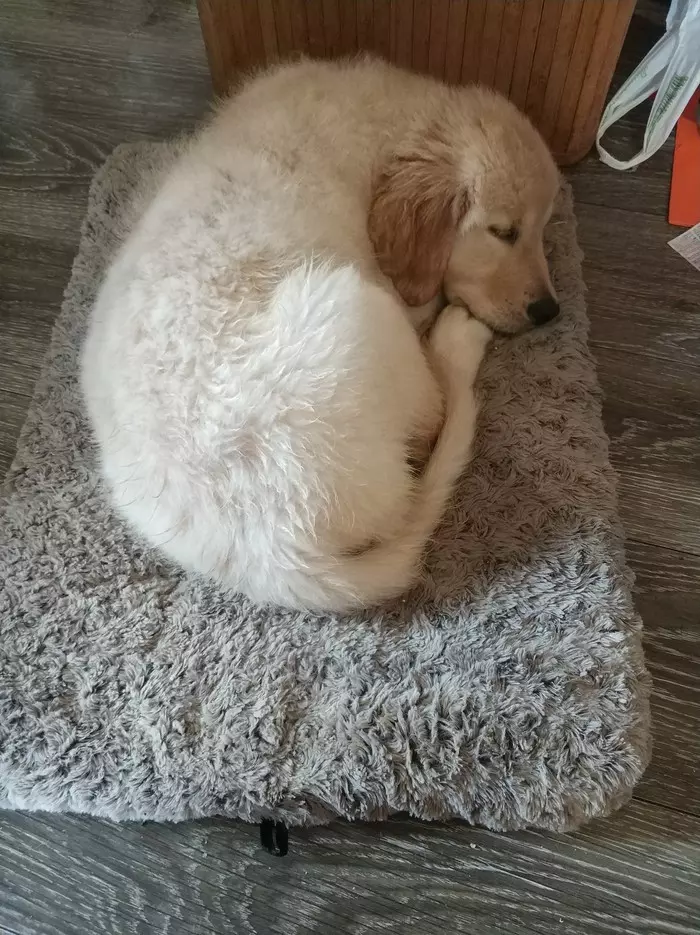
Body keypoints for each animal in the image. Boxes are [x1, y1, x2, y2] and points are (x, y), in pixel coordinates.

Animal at [82, 56, 560, 616]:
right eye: (503, 232)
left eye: (544, 228)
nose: (550, 311)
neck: (393, 125)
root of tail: (274, 552)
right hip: (359, 306)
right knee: (438, 408)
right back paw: (457, 343)